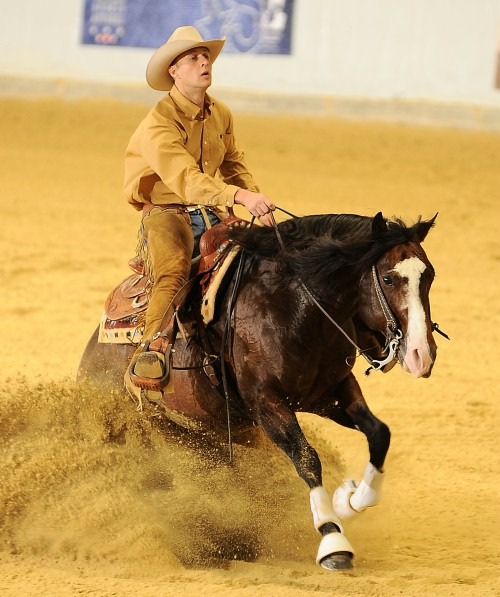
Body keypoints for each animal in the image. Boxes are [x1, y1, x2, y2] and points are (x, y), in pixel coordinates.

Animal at [78, 212, 442, 572]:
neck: (294, 307)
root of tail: (92, 352)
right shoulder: (266, 403)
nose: (421, 355)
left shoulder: (330, 392)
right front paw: (333, 540)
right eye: (389, 279)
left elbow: (379, 433)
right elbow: (307, 459)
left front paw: (350, 500)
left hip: (203, 434)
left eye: (429, 275)